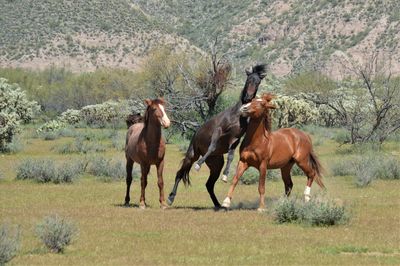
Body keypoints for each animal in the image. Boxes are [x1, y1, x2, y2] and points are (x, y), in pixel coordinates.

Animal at [167, 64, 268, 208]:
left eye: (258, 82)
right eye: (248, 80)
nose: (248, 98)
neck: (237, 116)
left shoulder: (235, 140)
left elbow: (231, 156)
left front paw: (225, 176)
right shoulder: (218, 131)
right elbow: (212, 147)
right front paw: (198, 165)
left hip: (215, 165)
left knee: (209, 185)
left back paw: (218, 205)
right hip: (192, 155)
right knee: (179, 174)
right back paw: (170, 198)